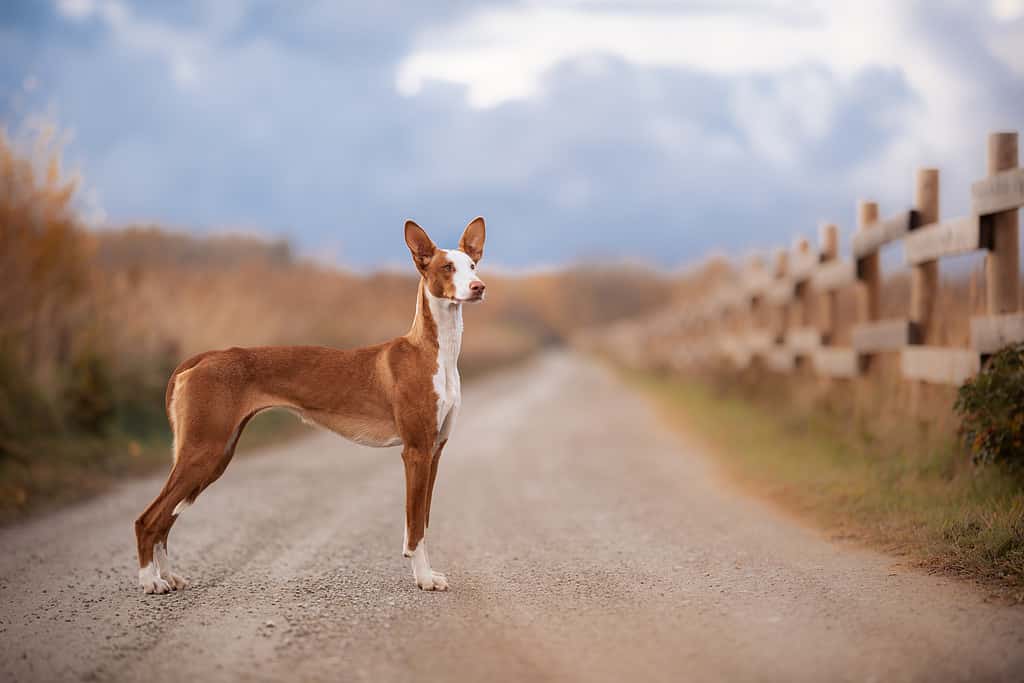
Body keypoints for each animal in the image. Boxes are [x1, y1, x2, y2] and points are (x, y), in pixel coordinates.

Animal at [134, 218, 485, 593]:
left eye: (472, 265)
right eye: (447, 268)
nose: (479, 287)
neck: (434, 353)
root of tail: (202, 358)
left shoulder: (435, 449)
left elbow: (424, 519)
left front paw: (426, 573)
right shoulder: (416, 451)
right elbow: (416, 525)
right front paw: (424, 579)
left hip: (214, 456)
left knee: (164, 520)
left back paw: (167, 575)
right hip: (203, 452)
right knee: (147, 519)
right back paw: (150, 581)